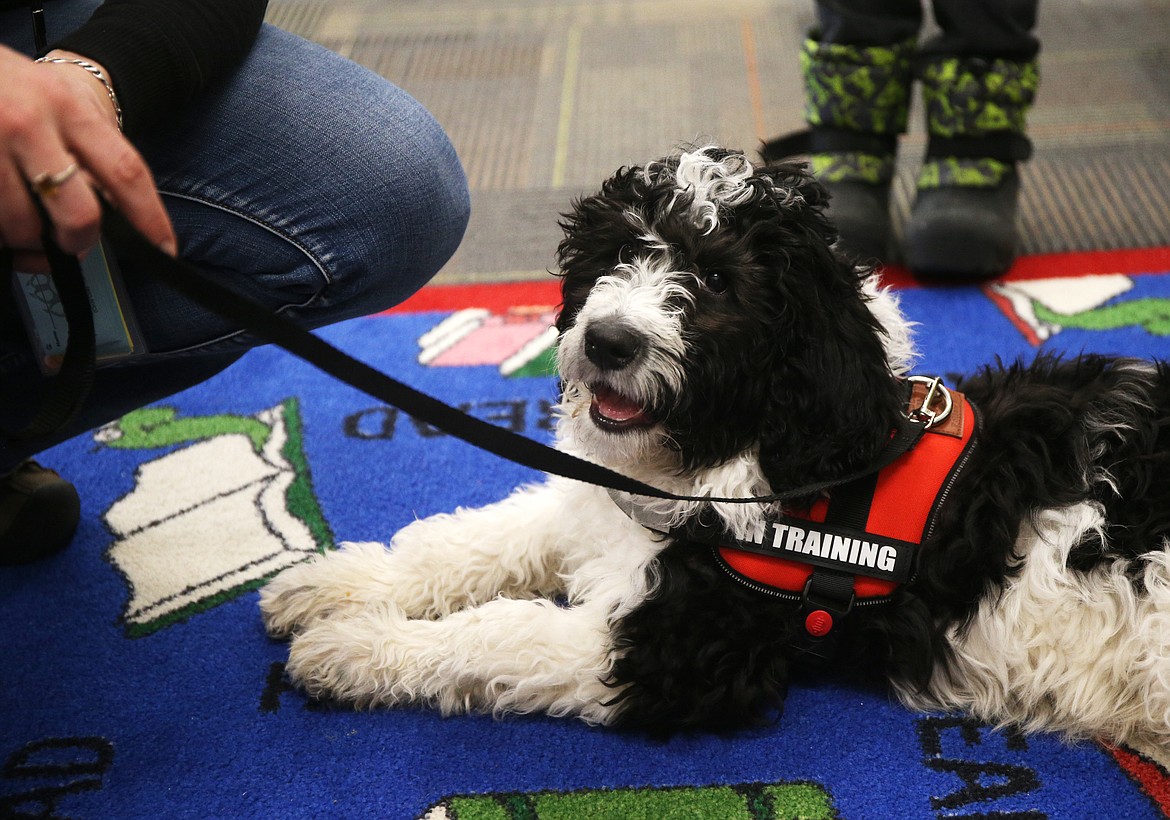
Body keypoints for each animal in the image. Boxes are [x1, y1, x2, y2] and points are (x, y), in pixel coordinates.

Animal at [260, 147, 1170, 748]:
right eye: (620, 251)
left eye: (719, 282)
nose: (609, 342)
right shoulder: (602, 508)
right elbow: (477, 538)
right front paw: (335, 587)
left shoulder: (685, 649)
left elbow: (500, 633)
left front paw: (352, 648)